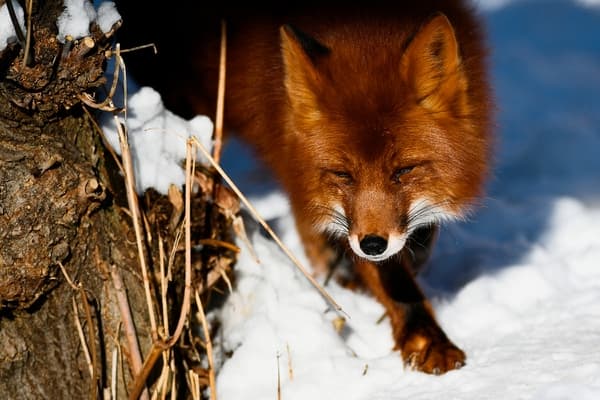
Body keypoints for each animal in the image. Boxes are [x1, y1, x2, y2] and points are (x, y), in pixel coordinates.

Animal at [116, 0, 492, 376]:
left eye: (403, 171)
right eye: (343, 175)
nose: (371, 244)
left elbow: (416, 241)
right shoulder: (308, 181)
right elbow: (391, 275)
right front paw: (425, 338)